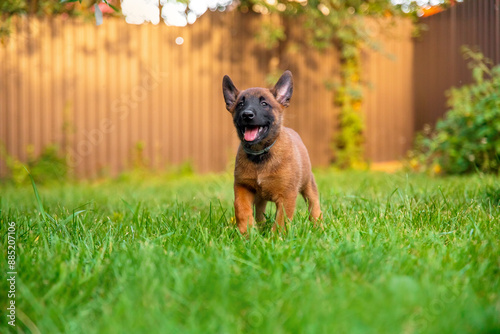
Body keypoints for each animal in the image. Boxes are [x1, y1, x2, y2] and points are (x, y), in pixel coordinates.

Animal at [222, 71, 320, 234]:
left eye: (264, 104)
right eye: (240, 104)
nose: (247, 115)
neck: (260, 154)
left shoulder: (287, 195)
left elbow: (281, 220)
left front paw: (275, 237)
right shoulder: (243, 187)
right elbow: (241, 208)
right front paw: (247, 232)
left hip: (308, 184)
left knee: (314, 204)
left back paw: (319, 225)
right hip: (260, 197)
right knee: (260, 212)